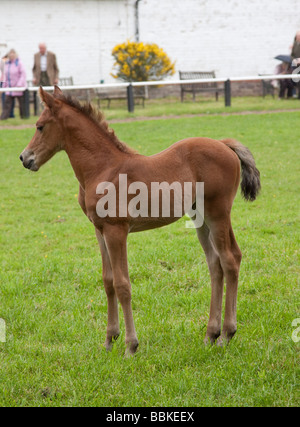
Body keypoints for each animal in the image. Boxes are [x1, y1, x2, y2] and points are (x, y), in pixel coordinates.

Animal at [18, 87, 260, 354]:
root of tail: (225, 145)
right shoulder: (99, 230)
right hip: (201, 218)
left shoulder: (116, 230)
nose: (24, 158)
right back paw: (211, 334)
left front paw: (130, 346)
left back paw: (227, 334)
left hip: (218, 214)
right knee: (216, 264)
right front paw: (109, 340)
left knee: (229, 260)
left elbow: (123, 285)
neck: (102, 168)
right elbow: (108, 281)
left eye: (40, 126)